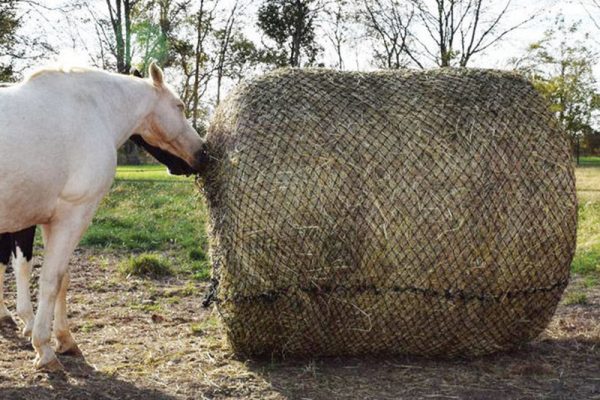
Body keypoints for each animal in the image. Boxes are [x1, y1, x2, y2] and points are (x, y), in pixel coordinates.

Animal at [0, 62, 207, 372]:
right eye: (179, 106)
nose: (203, 153)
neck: (93, 110)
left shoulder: (52, 220)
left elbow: (61, 279)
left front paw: (64, 339)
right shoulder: (72, 214)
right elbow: (50, 280)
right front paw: (44, 349)